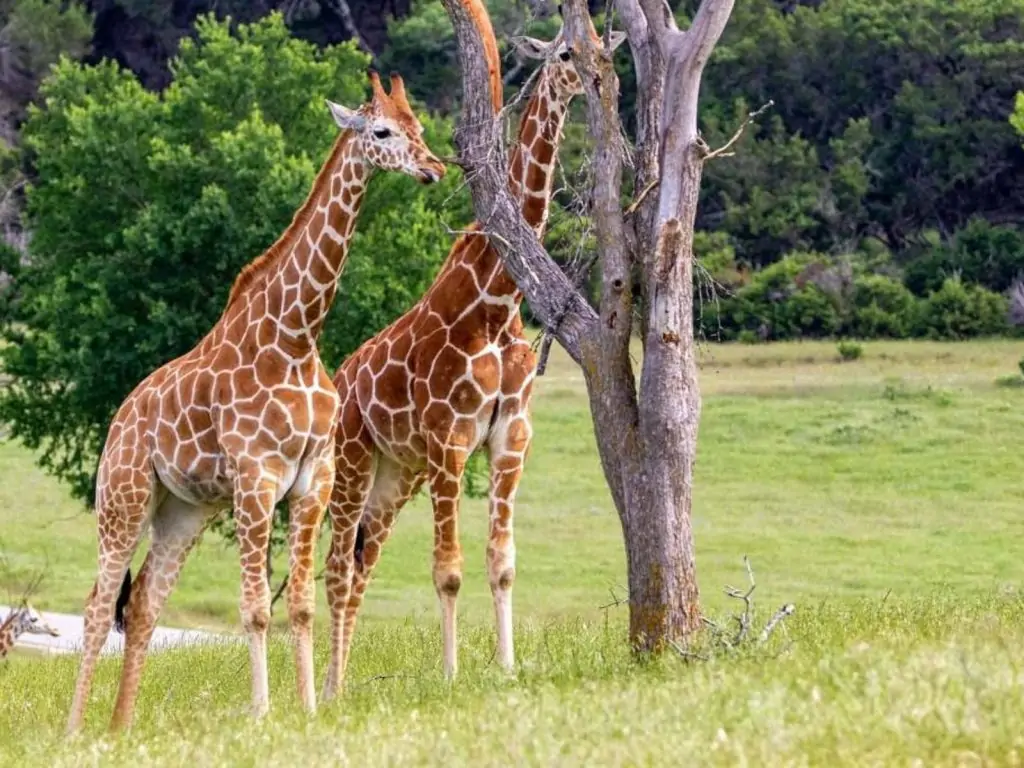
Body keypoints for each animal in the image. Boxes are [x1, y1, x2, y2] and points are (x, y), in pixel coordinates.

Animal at [65, 71, 446, 734]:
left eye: (417, 126)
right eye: (381, 131)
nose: (432, 167)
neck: (295, 337)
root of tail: (118, 421)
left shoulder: (313, 478)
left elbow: (300, 605)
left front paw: (310, 708)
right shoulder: (256, 478)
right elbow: (255, 609)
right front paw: (263, 713)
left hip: (183, 511)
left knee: (142, 606)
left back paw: (121, 728)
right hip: (124, 497)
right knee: (96, 605)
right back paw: (75, 732)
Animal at [320, 3, 625, 697]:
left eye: (603, 46)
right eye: (563, 53)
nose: (598, 80)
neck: (497, 303)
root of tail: (341, 378)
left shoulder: (511, 434)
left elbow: (501, 561)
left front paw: (508, 666)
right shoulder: (449, 440)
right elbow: (448, 568)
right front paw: (452, 675)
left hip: (395, 477)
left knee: (362, 563)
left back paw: (336, 684)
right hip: (355, 461)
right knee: (338, 564)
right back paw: (329, 689)